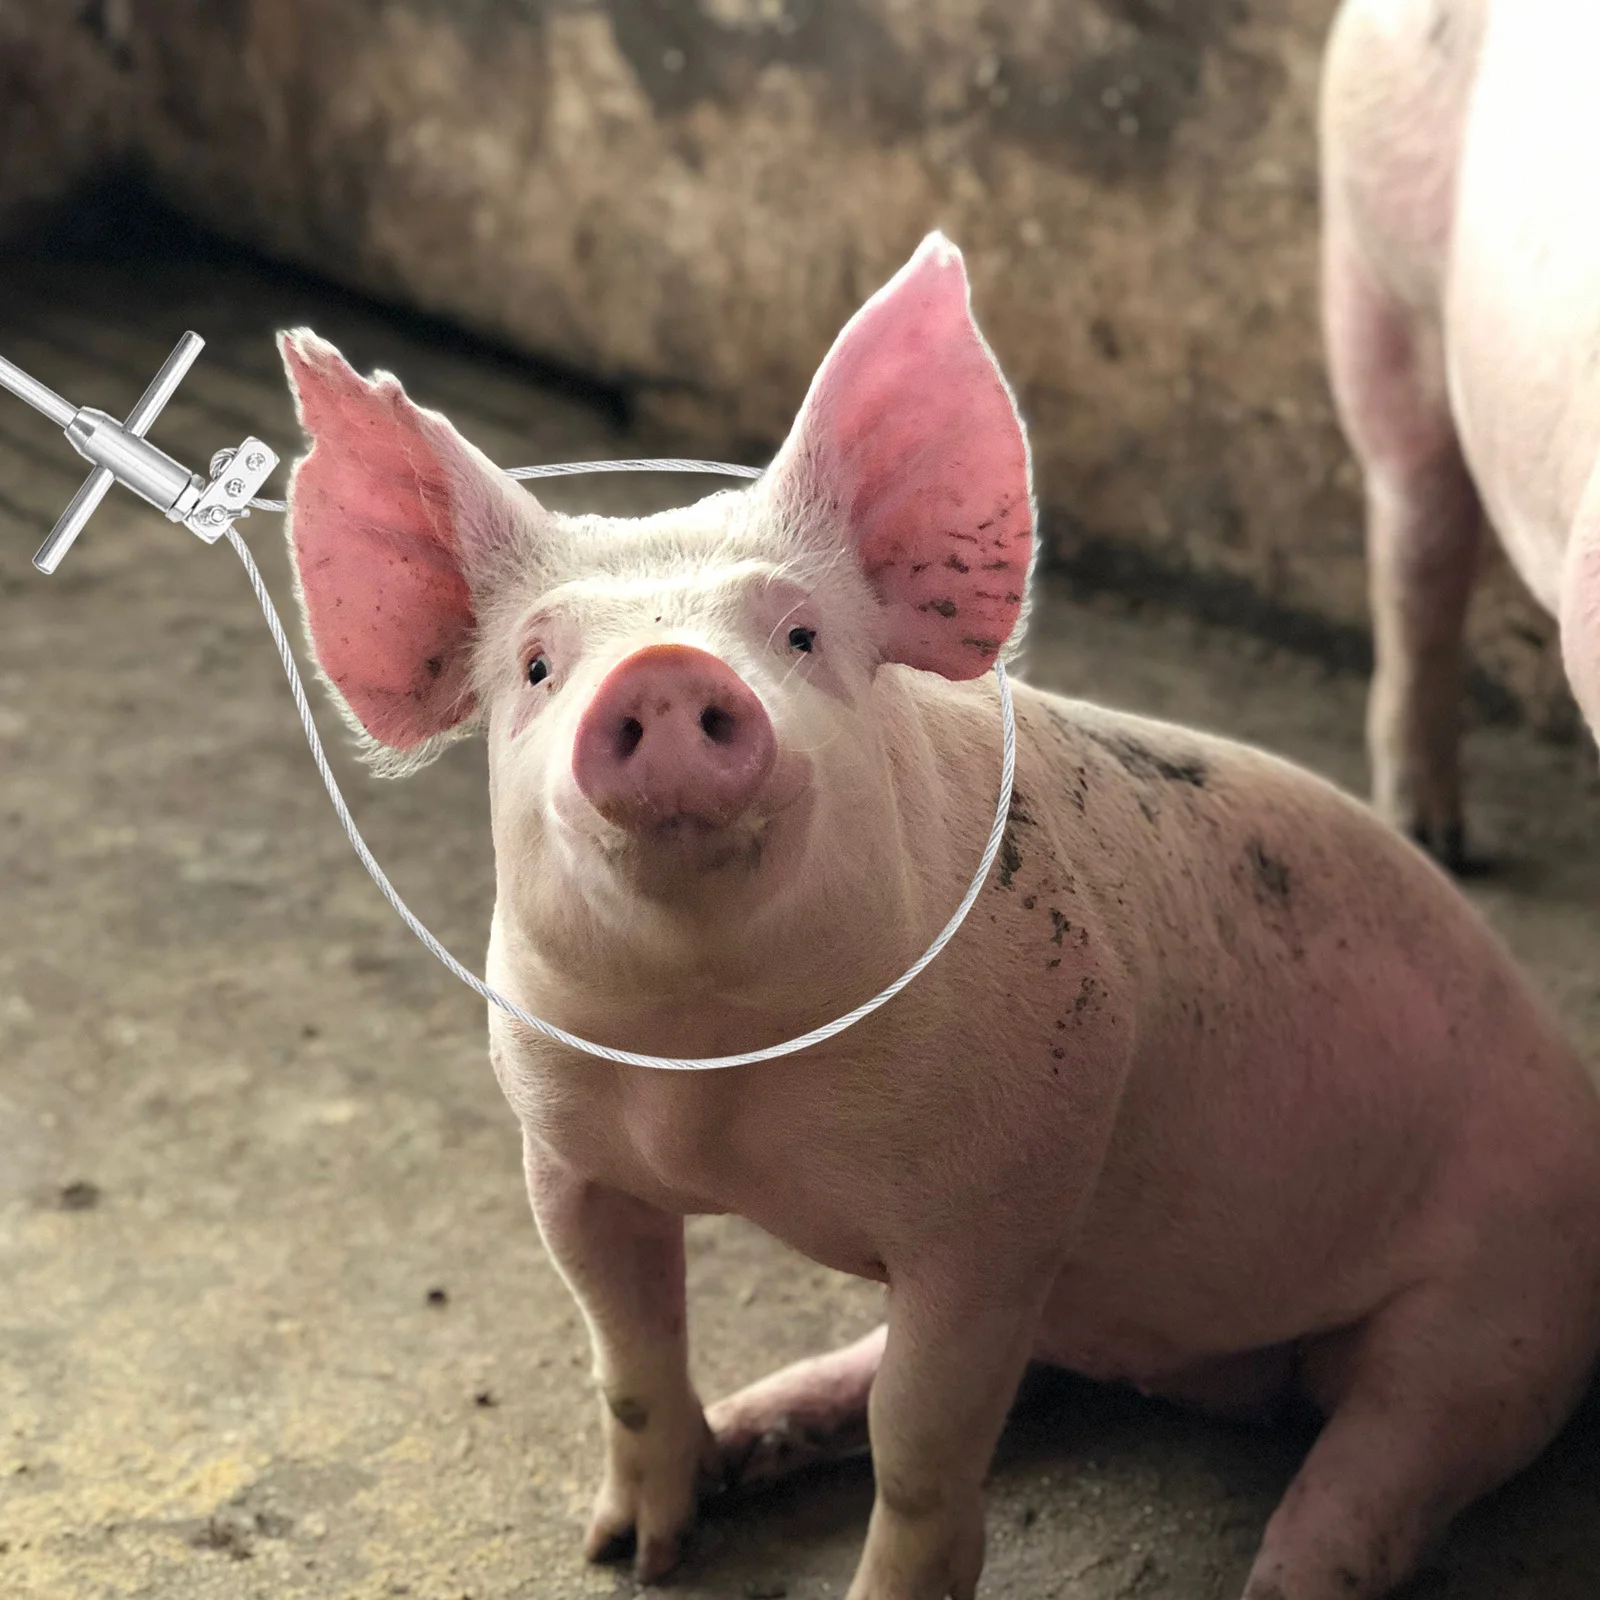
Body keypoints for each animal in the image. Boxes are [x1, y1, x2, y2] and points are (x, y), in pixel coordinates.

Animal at [276, 234, 1600, 1600]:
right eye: (538, 665)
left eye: (801, 635)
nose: (663, 670)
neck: (716, 1070)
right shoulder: (564, 1150)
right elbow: (629, 1353)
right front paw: (629, 1555)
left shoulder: (1004, 1203)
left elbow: (918, 1437)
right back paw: (751, 1431)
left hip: (1503, 1302)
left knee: (1384, 1458)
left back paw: (1279, 1573)